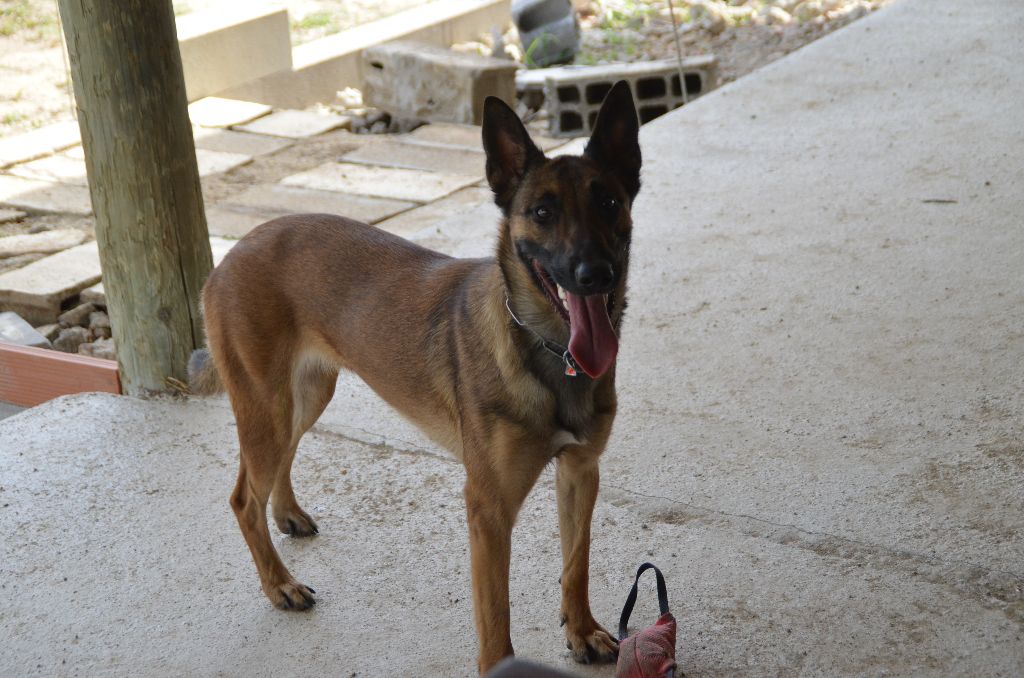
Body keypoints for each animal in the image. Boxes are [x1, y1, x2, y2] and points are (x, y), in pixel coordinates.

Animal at [188, 80, 638, 675]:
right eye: (542, 211)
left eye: (609, 202)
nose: (594, 274)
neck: (546, 349)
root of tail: (231, 252)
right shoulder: (488, 509)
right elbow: (495, 615)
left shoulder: (581, 472)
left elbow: (576, 563)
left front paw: (582, 631)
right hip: (268, 406)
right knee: (244, 498)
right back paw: (279, 584)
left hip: (305, 396)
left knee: (279, 463)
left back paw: (286, 514)